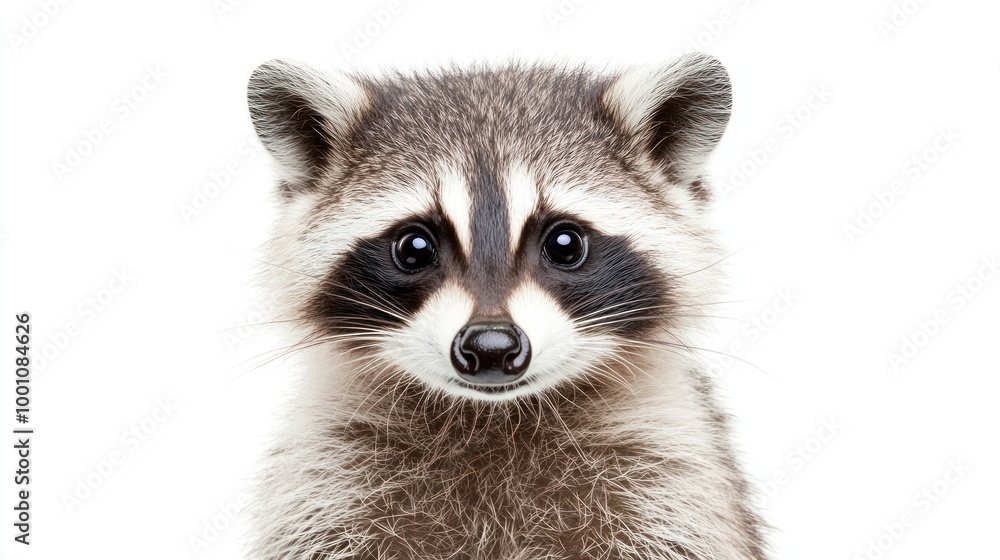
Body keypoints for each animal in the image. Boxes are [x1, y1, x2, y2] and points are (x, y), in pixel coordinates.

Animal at [245, 53, 767, 560]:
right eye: (414, 247)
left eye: (564, 244)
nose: (491, 346)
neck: (494, 416)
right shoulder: (329, 477)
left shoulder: (670, 476)